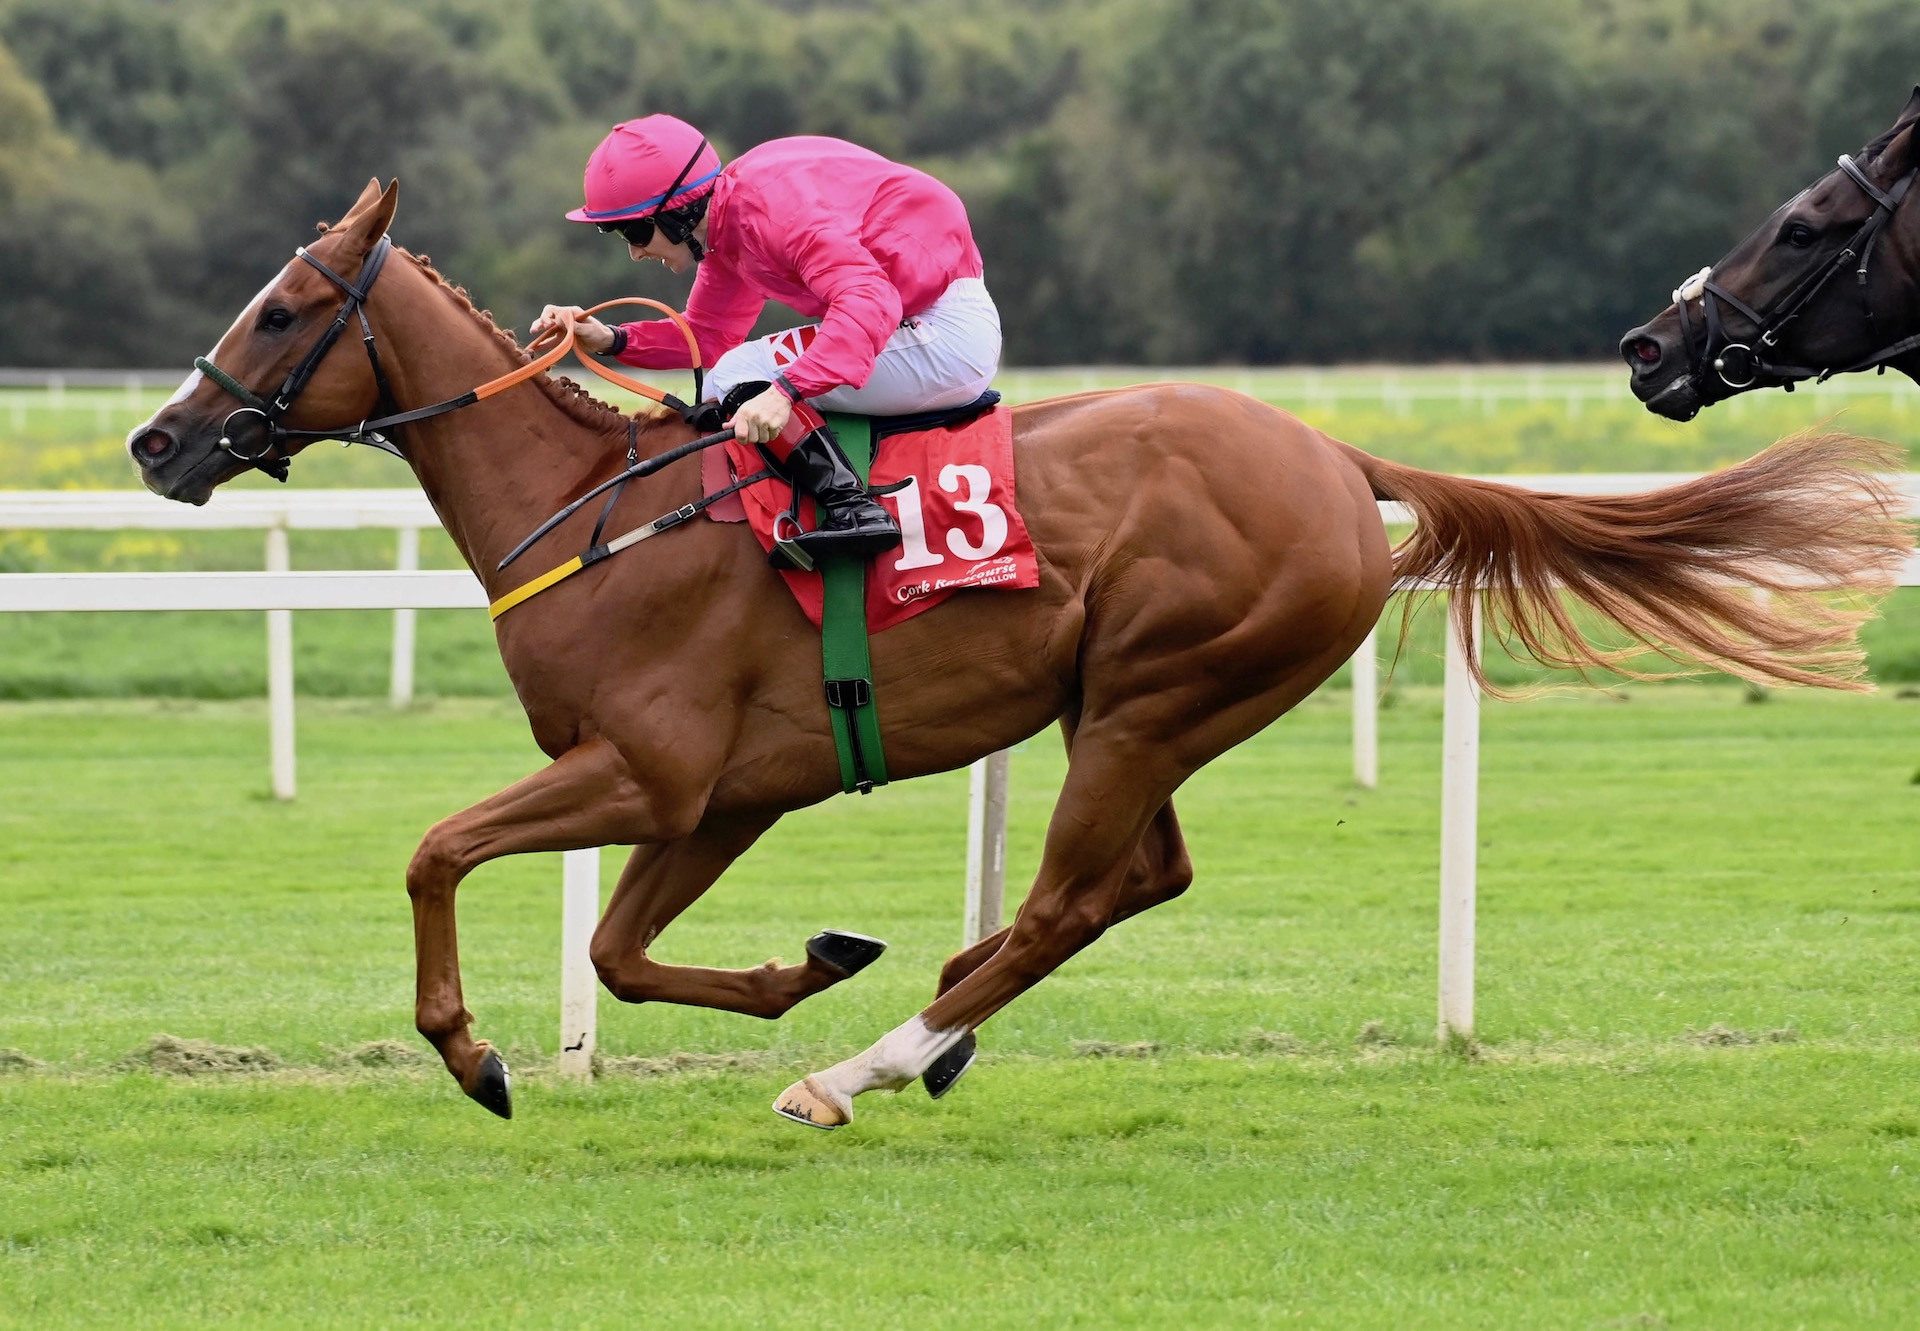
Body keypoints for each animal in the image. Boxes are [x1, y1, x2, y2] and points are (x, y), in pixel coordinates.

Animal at [127, 179, 1912, 1121]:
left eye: (279, 311)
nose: (157, 440)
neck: (596, 511)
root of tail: (1338, 460)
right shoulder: (724, 794)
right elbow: (620, 951)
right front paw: (810, 958)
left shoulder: (649, 767)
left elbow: (438, 851)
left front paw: (476, 1051)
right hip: (1141, 706)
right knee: (1135, 880)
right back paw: (929, 1013)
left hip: (1153, 693)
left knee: (1072, 895)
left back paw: (871, 1059)